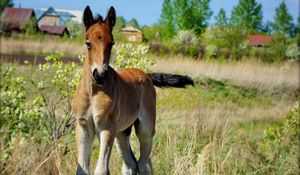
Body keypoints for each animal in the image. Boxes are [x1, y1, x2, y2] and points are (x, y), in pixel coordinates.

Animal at [73, 5, 195, 175]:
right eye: (88, 43)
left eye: (111, 43)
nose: (100, 75)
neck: (93, 93)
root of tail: (146, 75)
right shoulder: (83, 128)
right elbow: (82, 169)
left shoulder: (107, 128)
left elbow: (101, 169)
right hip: (121, 132)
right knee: (130, 164)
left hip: (145, 129)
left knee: (143, 164)